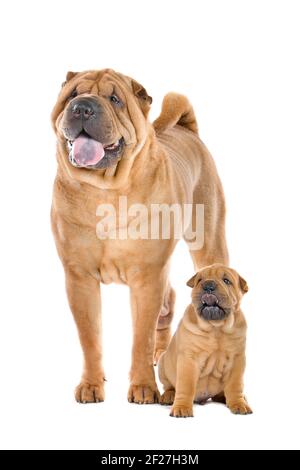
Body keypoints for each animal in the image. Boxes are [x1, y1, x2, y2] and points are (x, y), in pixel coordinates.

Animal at [51, 69, 227, 404]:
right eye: (72, 95)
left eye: (114, 99)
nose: (82, 108)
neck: (104, 190)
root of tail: (187, 130)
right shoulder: (79, 278)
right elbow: (90, 338)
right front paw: (91, 385)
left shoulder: (147, 276)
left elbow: (140, 337)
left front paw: (144, 387)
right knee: (168, 301)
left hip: (208, 242)